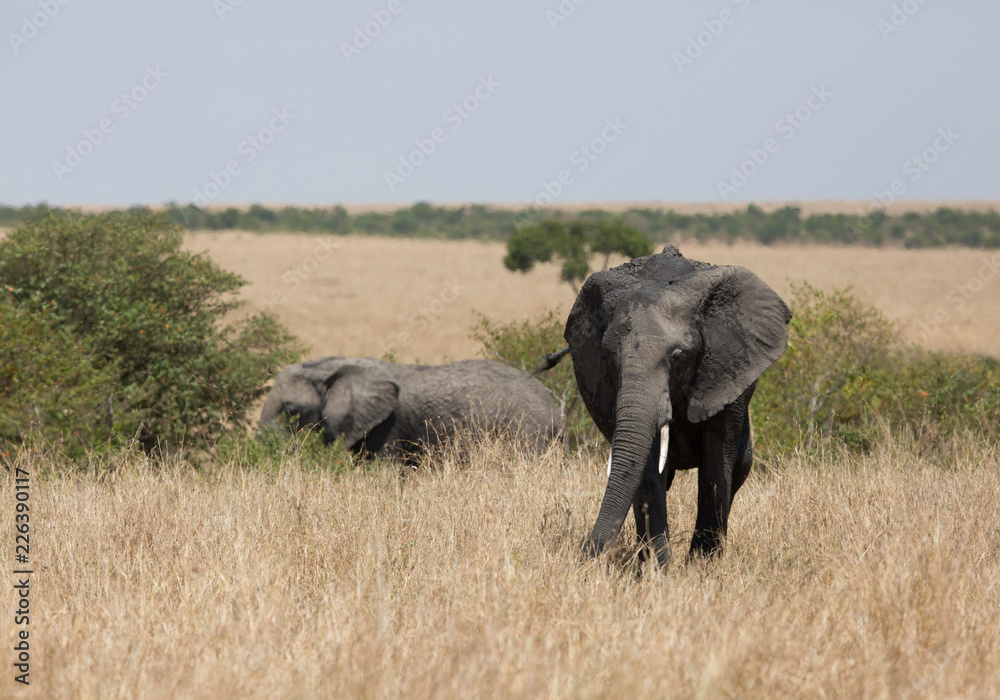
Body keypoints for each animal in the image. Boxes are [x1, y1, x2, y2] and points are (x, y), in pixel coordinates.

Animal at [540, 243, 788, 568]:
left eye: (678, 356)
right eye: (608, 356)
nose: (585, 556)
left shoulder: (724, 371)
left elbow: (717, 461)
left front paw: (701, 567)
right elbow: (646, 468)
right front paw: (658, 569)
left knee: (738, 468)